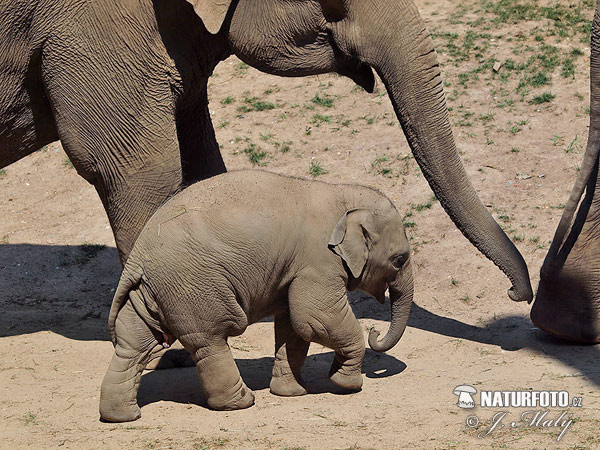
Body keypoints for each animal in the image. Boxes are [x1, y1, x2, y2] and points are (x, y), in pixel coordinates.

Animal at [102, 170, 412, 422]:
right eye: (399, 260)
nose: (375, 331)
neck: (342, 193)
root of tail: (138, 255)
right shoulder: (318, 262)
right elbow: (314, 318)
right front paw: (346, 384)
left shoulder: (294, 271)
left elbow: (293, 326)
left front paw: (291, 392)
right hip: (192, 287)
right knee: (210, 340)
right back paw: (242, 402)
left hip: (150, 291)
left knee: (134, 344)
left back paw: (122, 416)